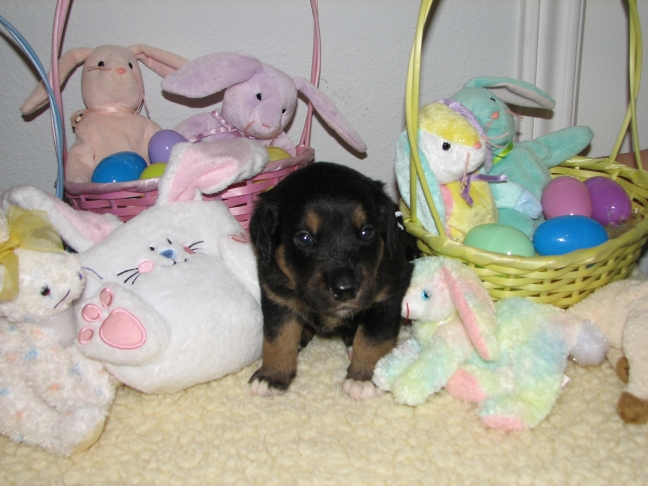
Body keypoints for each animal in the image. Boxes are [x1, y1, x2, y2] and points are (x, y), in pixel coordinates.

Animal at [248, 162, 415, 399]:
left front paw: (363, 378)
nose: (345, 290)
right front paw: (271, 376)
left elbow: (373, 339)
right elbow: (277, 338)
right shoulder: (276, 297)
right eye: (304, 238)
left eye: (366, 232)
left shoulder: (388, 297)